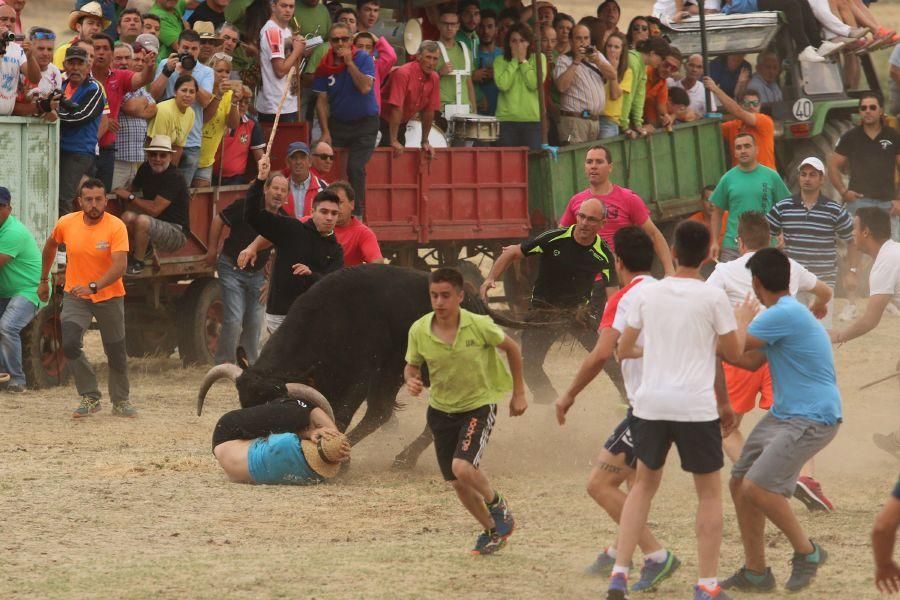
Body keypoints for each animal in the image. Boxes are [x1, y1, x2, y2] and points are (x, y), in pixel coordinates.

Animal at [196, 264, 548, 468]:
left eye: (276, 408)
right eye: (244, 402)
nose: (244, 442)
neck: (332, 318)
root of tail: (477, 302)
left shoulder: (364, 377)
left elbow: (344, 415)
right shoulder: (369, 378)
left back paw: (405, 457)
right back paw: (407, 456)